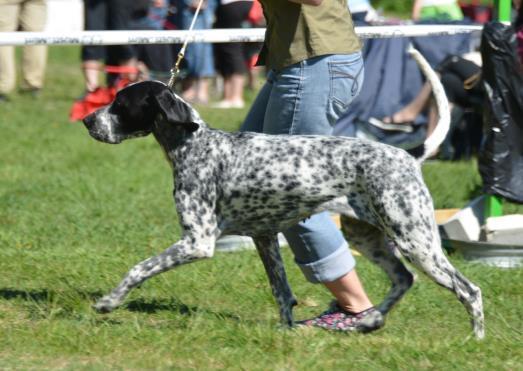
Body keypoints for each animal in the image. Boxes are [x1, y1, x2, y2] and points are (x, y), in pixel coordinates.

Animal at [83, 80, 488, 342]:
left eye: (120, 103)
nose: (87, 120)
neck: (196, 145)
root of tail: (408, 155)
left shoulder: (197, 241)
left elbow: (138, 269)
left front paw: (108, 302)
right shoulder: (263, 237)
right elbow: (282, 293)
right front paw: (286, 332)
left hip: (418, 242)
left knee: (469, 290)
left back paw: (475, 339)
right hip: (371, 237)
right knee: (403, 279)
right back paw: (368, 321)